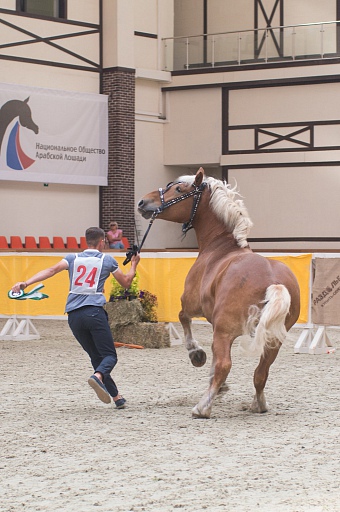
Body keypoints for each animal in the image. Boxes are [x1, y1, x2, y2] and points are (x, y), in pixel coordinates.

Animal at [138, 167, 300, 416]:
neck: (220, 247)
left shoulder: (191, 305)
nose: (143, 202)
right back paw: (258, 404)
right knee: (261, 372)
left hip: (226, 331)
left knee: (226, 364)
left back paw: (202, 407)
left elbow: (183, 319)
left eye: (178, 189)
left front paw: (196, 353)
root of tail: (274, 282)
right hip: (273, 339)